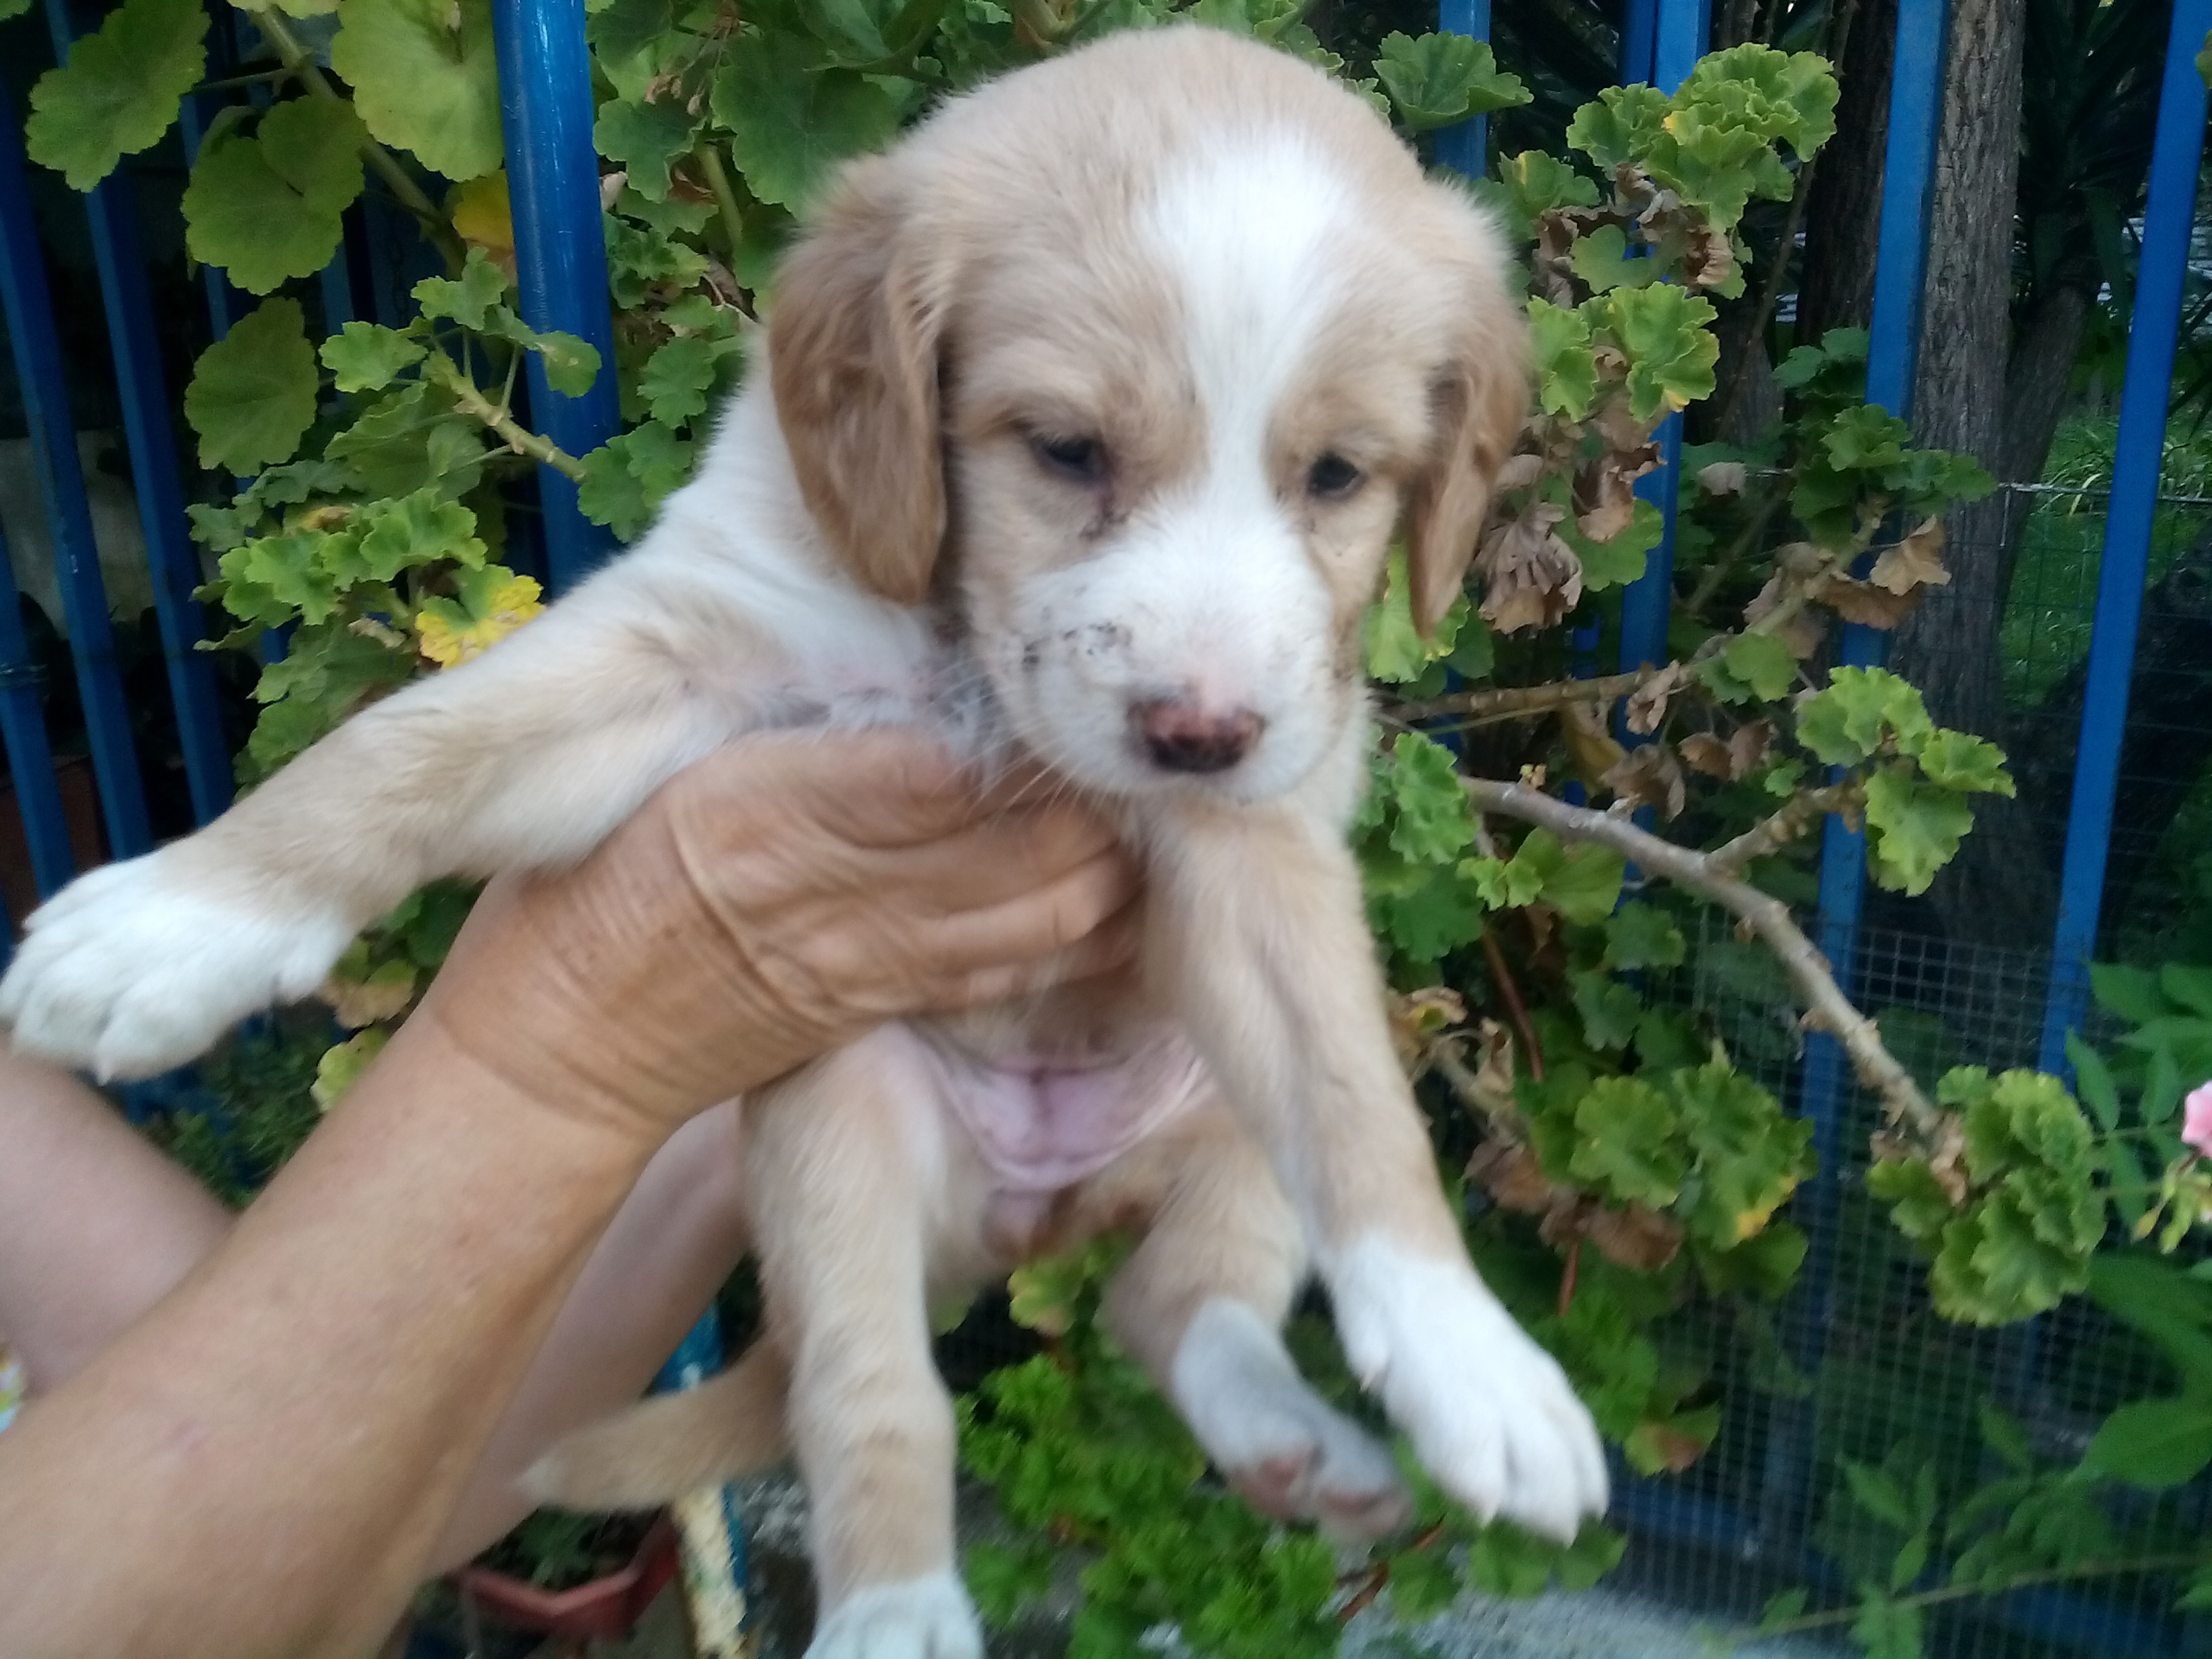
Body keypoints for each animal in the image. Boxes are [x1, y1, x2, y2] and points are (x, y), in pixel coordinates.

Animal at [0, 26, 1607, 1656]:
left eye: (1339, 476)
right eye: (1065, 449)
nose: (1199, 733)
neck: (956, 645)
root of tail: (1033, 1210)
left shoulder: (1254, 833)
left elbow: (1348, 1093)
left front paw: (1474, 1362)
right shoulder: (689, 649)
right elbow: (409, 744)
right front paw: (171, 922)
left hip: (1216, 1129)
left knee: (1177, 1302)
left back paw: (1295, 1447)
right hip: (840, 1131)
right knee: (871, 1392)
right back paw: (896, 1603)